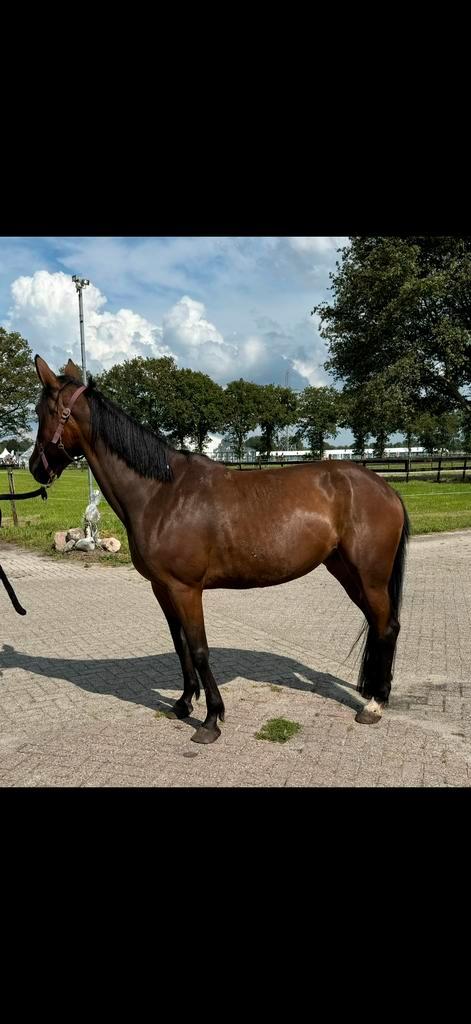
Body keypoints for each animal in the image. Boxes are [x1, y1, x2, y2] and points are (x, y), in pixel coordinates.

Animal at [30, 355, 410, 744]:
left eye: (43, 412)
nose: (34, 467)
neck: (160, 494)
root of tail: (385, 489)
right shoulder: (162, 588)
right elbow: (180, 645)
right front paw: (183, 704)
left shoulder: (186, 589)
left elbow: (199, 649)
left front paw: (211, 719)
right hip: (347, 572)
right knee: (378, 624)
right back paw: (374, 693)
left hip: (370, 576)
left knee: (387, 626)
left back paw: (375, 704)